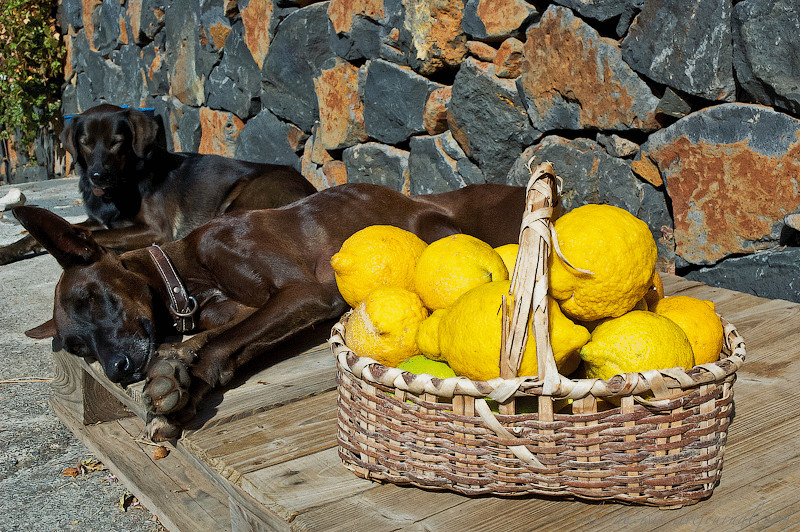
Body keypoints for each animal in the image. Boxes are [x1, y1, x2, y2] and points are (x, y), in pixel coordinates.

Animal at [0, 105, 318, 266]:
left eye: (116, 142)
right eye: (85, 143)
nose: (97, 177)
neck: (122, 186)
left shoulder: (154, 229)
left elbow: (88, 235)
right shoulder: (99, 220)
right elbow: (57, 230)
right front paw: (9, 250)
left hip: (240, 199)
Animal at [17, 183, 524, 440]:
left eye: (91, 296)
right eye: (77, 345)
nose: (118, 369)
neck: (187, 277)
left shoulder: (307, 294)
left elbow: (219, 347)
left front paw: (185, 384)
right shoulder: (244, 312)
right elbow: (210, 342)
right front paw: (174, 375)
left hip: (440, 227)